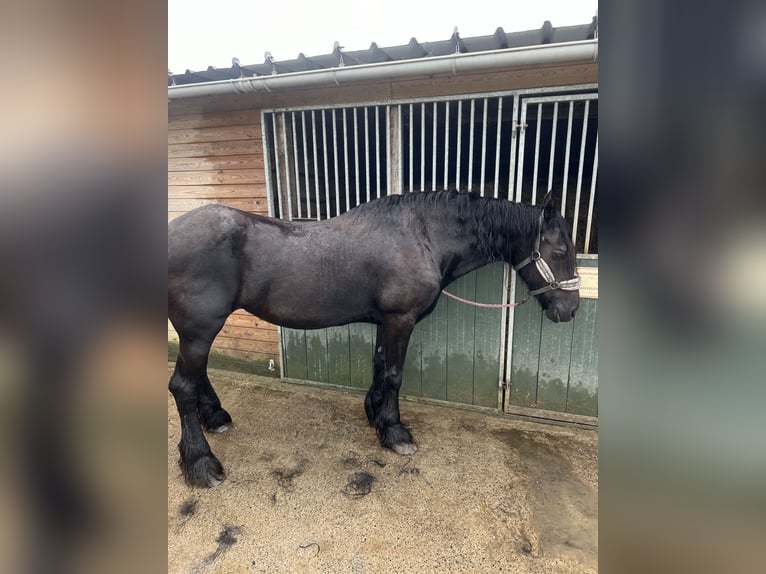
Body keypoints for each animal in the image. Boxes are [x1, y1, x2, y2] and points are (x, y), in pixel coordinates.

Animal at [166, 191, 576, 488]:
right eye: (559, 251)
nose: (569, 310)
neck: (422, 236)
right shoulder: (400, 319)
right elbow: (394, 373)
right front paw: (395, 432)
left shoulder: (385, 321)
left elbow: (380, 365)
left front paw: (375, 415)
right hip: (200, 329)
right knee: (182, 386)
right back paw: (202, 463)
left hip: (195, 331)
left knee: (196, 377)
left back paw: (215, 417)